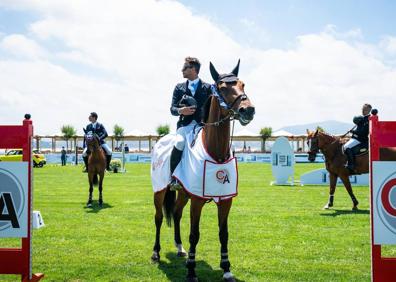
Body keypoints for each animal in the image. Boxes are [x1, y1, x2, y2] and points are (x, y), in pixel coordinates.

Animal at [150, 60, 255, 282]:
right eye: (222, 87)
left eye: (243, 84)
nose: (248, 110)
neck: (216, 152)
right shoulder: (197, 200)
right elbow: (194, 234)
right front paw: (191, 272)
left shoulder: (225, 200)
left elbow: (224, 234)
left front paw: (227, 269)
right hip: (160, 190)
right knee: (159, 217)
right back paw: (155, 253)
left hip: (183, 193)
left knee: (177, 213)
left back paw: (180, 248)